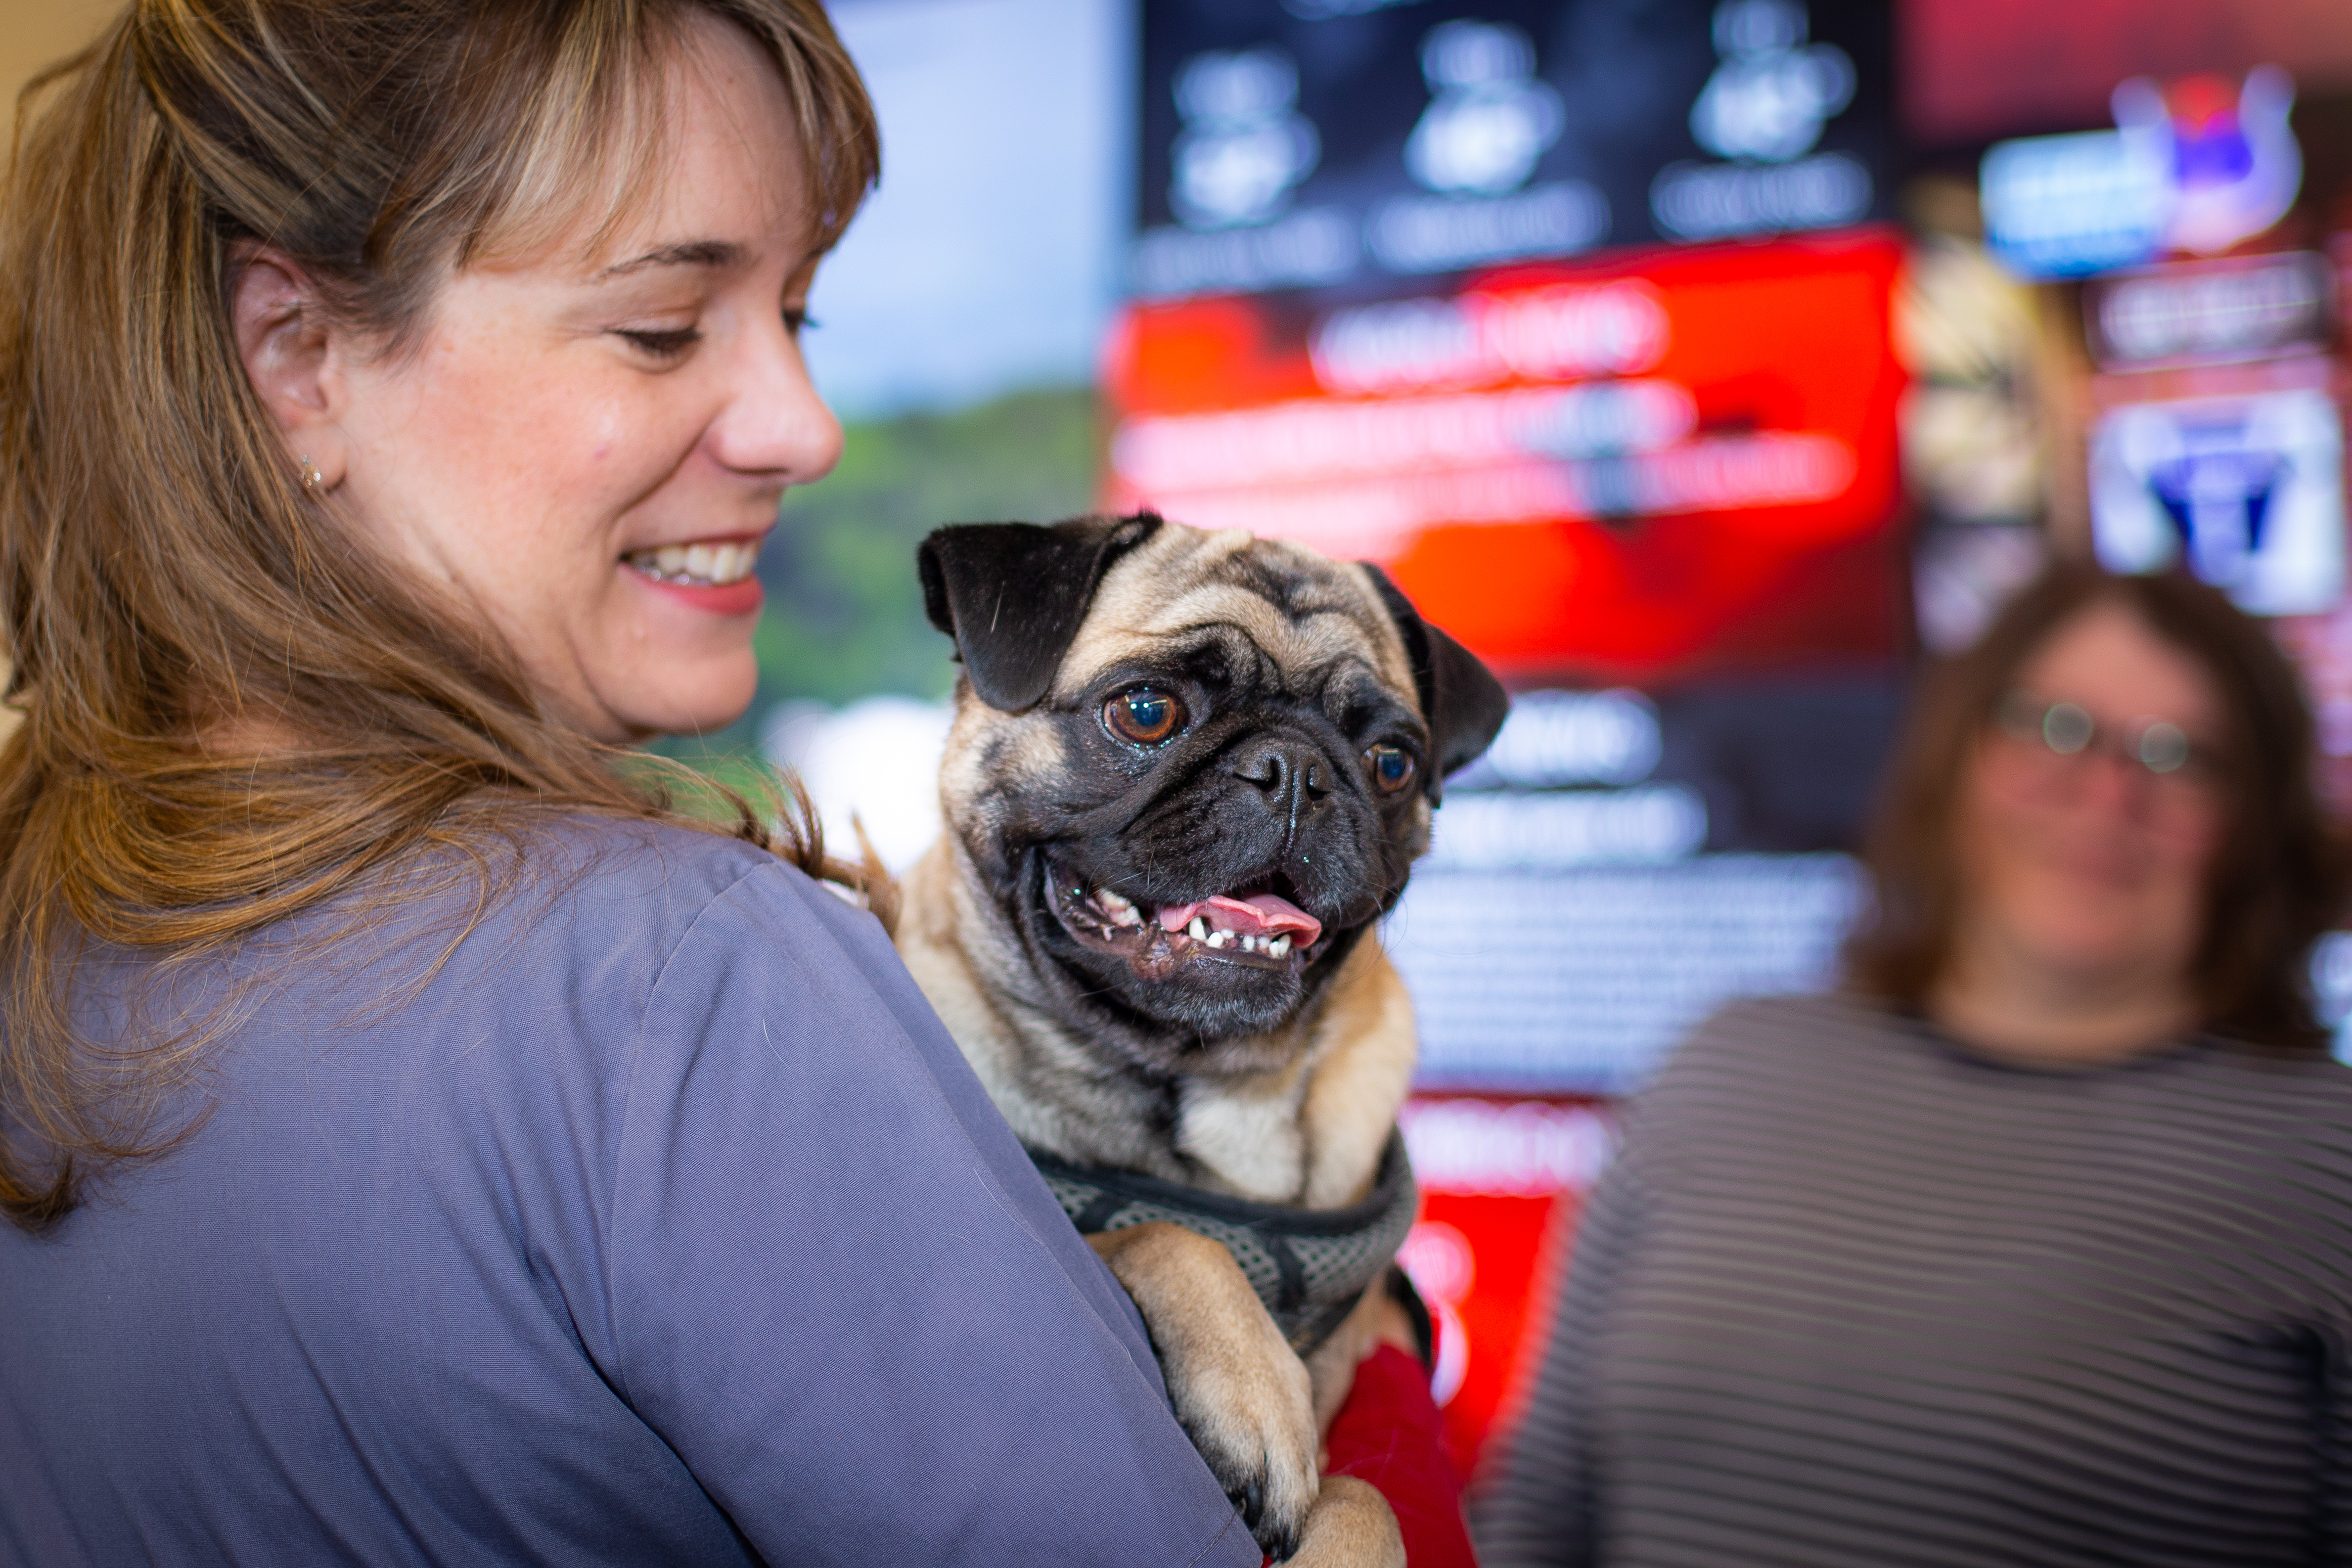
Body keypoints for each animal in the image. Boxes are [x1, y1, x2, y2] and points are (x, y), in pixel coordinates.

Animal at [898, 512, 1505, 1561]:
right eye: (1145, 712)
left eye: (1391, 762)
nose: (1295, 770)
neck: (1203, 1099)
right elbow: (1163, 1232)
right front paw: (1254, 1388)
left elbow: (1369, 1498)